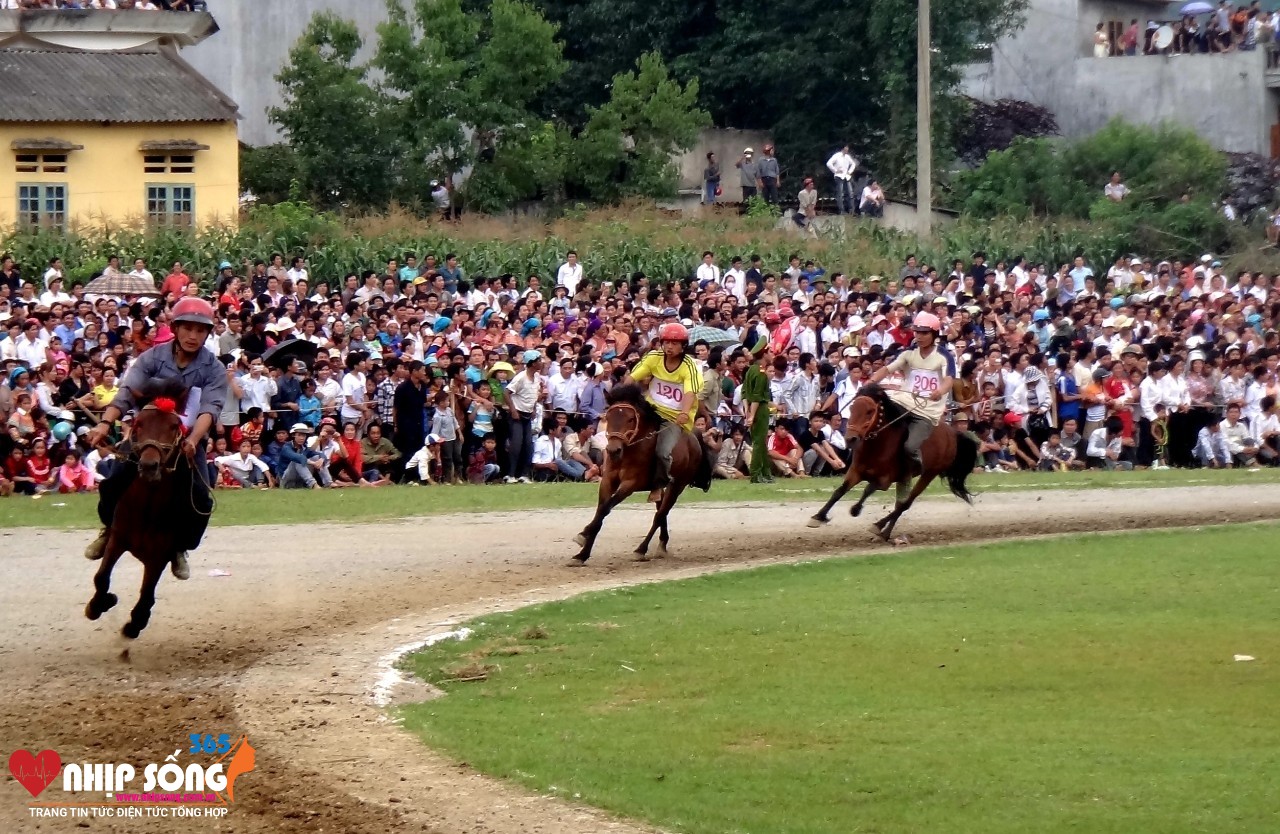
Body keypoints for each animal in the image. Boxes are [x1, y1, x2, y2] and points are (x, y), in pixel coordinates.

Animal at [83, 378, 200, 639]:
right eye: (139, 424)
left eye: (174, 425)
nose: (149, 465)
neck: (146, 506)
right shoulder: (117, 539)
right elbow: (101, 578)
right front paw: (100, 603)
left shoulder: (158, 556)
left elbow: (146, 596)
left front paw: (135, 623)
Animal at [570, 383, 711, 567]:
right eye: (608, 416)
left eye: (631, 419)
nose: (613, 450)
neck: (628, 451)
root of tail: (693, 437)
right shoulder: (607, 481)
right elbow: (601, 510)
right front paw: (582, 553)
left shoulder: (630, 484)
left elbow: (606, 508)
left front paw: (584, 534)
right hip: (661, 487)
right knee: (661, 511)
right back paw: (662, 544)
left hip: (678, 485)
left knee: (660, 515)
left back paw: (641, 550)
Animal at [808, 383, 977, 539]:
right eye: (852, 408)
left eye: (870, 411)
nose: (850, 439)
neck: (877, 445)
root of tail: (952, 433)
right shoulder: (855, 471)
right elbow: (840, 491)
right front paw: (818, 517)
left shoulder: (885, 480)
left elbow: (868, 488)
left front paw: (856, 509)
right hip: (906, 477)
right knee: (900, 504)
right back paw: (885, 533)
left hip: (929, 473)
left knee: (905, 504)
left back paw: (878, 526)